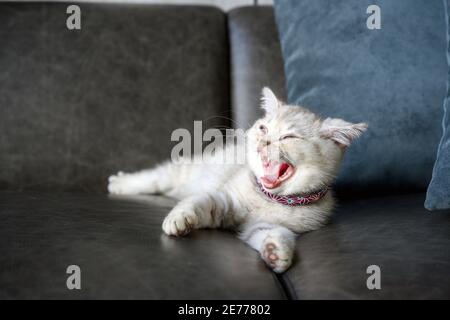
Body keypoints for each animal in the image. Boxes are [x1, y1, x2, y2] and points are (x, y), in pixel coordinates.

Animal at [107, 87, 368, 272]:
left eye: (288, 137)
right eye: (263, 128)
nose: (263, 141)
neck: (269, 199)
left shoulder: (263, 226)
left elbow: (275, 234)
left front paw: (276, 251)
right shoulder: (223, 199)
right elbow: (197, 202)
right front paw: (179, 219)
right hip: (181, 172)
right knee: (154, 178)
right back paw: (119, 184)